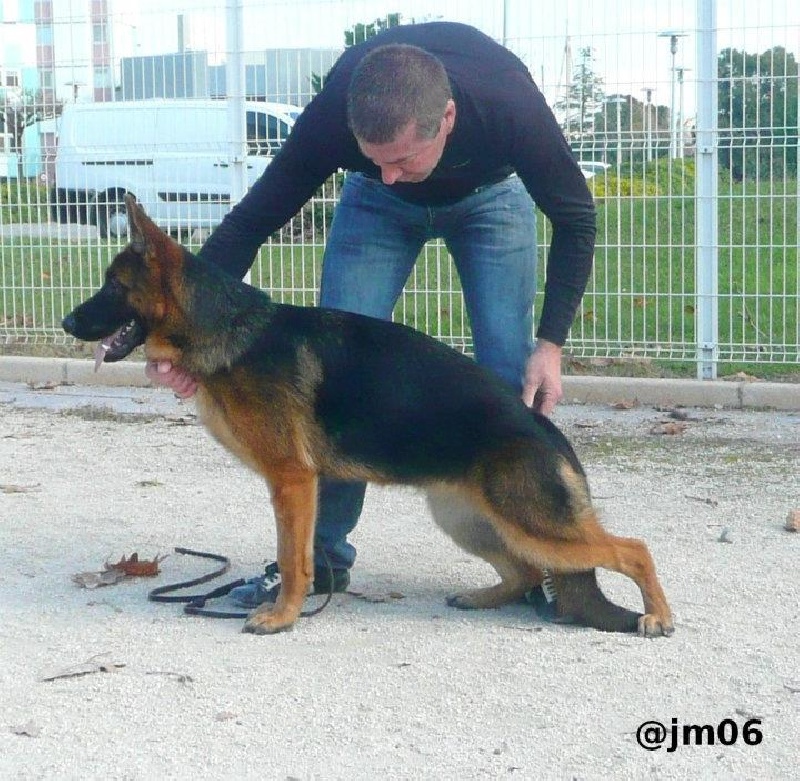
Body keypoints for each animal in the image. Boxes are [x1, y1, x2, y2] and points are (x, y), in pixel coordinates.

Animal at [64, 193, 676, 632]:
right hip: (464, 518)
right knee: (525, 567)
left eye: (112, 287)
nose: (69, 323)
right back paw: (484, 596)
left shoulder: (293, 480)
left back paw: (658, 616)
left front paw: (283, 617)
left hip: (529, 522)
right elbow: (296, 553)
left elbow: (294, 557)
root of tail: (546, 429)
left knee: (633, 549)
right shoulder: (294, 485)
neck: (230, 331)